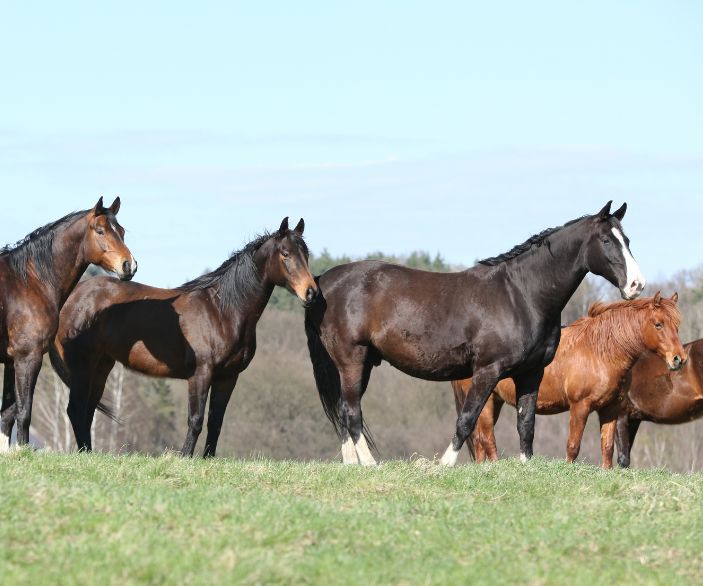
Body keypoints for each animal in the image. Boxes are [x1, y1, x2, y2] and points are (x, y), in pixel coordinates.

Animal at [0, 197, 136, 450]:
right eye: (100, 231)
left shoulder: (11, 362)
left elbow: (7, 415)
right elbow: (24, 413)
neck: (28, 282)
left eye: (121, 231)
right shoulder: (28, 357)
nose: (129, 266)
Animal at [50, 217, 317, 457]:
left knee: (87, 410)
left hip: (101, 366)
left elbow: (215, 422)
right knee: (76, 409)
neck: (222, 311)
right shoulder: (201, 373)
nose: (311, 292)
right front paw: (184, 457)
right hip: (83, 365)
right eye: (285, 253)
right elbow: (196, 420)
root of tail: (72, 297)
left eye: (306, 254)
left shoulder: (228, 377)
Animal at [304, 201, 645, 466]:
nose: (636, 285)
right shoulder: (486, 370)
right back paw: (371, 465)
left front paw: (525, 468)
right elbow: (467, 419)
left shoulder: (531, 372)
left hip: (361, 364)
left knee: (344, 412)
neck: (521, 295)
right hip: (352, 361)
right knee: (351, 412)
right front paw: (443, 465)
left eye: (627, 239)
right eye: (606, 240)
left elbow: (526, 423)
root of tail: (324, 280)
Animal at [452, 293, 685, 468]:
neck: (600, 351)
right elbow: (573, 446)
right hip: (486, 400)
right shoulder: (579, 406)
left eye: (677, 325)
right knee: (487, 439)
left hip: (494, 401)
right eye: (658, 324)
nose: (679, 359)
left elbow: (607, 447)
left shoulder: (611, 409)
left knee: (479, 441)